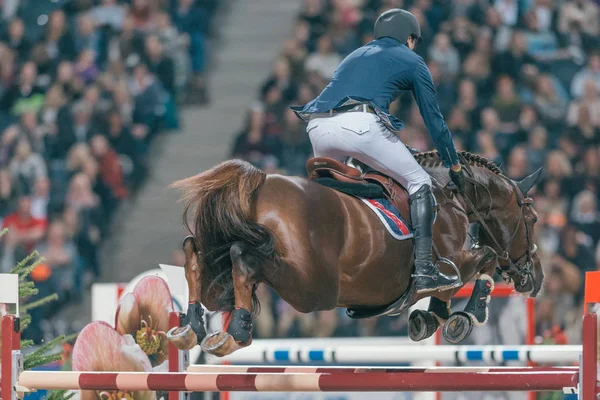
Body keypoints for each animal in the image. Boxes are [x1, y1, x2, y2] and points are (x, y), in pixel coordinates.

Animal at [165, 152, 544, 358]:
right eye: (532, 218)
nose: (536, 279)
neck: (454, 197)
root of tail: (258, 183)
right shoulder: (456, 262)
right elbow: (486, 259)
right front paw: (463, 316)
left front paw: (430, 318)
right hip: (311, 288)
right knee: (243, 256)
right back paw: (236, 332)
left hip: (227, 282)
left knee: (196, 253)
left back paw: (191, 327)